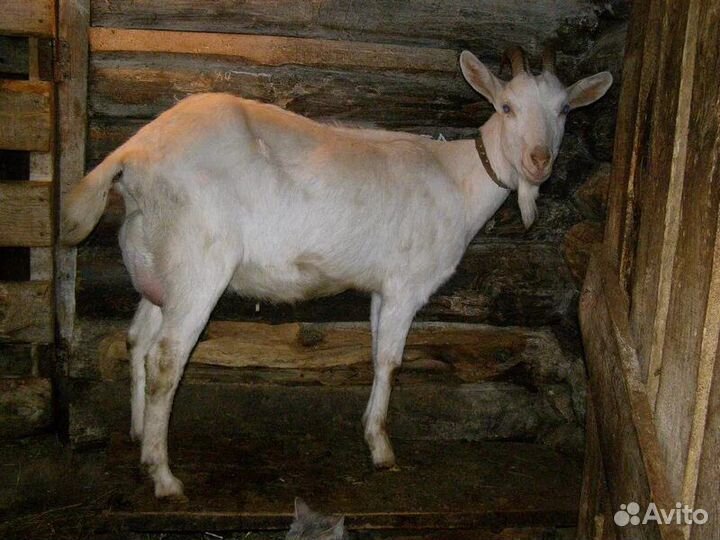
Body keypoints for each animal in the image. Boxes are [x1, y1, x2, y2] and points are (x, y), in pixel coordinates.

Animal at [62, 45, 612, 498]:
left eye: (564, 110)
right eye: (506, 107)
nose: (539, 161)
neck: (456, 179)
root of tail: (133, 152)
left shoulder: (380, 288)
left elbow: (374, 355)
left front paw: (369, 431)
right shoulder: (406, 284)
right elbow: (391, 360)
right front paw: (383, 451)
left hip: (158, 265)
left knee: (138, 339)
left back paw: (138, 437)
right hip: (199, 262)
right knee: (166, 359)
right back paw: (163, 476)